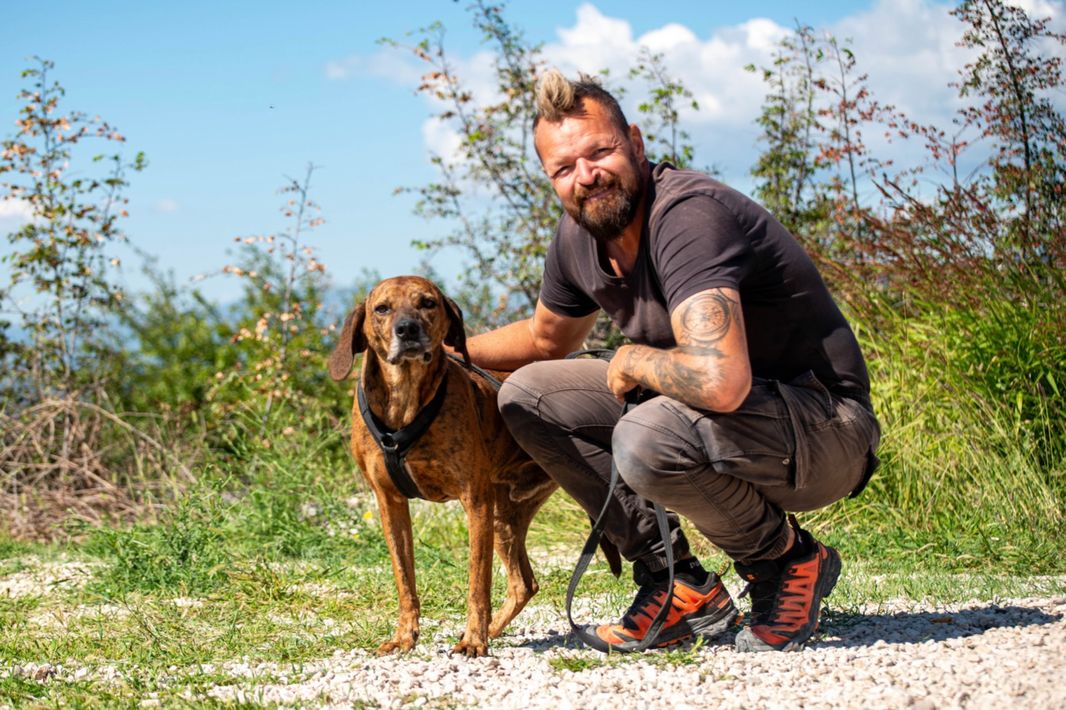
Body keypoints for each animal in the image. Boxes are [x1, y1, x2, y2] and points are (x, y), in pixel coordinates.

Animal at [329, 275, 594, 657]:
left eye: (427, 303)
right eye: (382, 308)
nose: (407, 329)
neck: (405, 401)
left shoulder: (475, 502)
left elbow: (477, 582)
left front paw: (474, 639)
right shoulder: (390, 504)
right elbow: (404, 580)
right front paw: (405, 636)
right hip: (504, 515)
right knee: (523, 583)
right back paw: (495, 628)